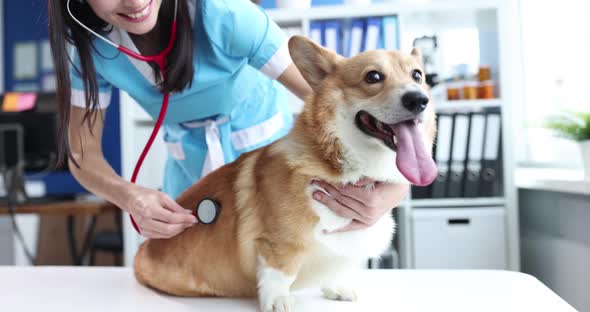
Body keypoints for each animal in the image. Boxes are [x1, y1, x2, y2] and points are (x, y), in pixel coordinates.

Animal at [135, 35, 440, 310]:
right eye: (373, 76)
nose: (419, 100)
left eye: (417, 75)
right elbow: (280, 274)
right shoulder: (279, 244)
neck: (343, 167)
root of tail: (143, 250)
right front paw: (278, 302)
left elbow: (334, 269)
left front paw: (336, 288)